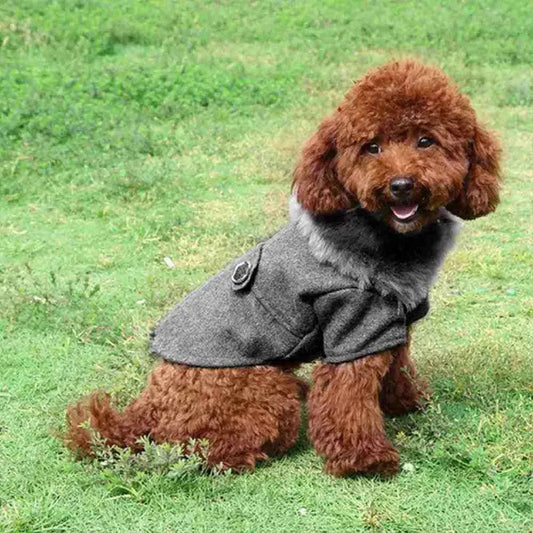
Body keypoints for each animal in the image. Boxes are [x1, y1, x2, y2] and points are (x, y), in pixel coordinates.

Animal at [64, 60, 500, 476]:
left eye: (426, 140)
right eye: (371, 147)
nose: (401, 185)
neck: (383, 237)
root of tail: (144, 408)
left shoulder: (388, 327)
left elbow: (398, 367)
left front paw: (406, 403)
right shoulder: (352, 331)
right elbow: (348, 400)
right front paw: (365, 461)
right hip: (269, 391)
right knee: (204, 449)